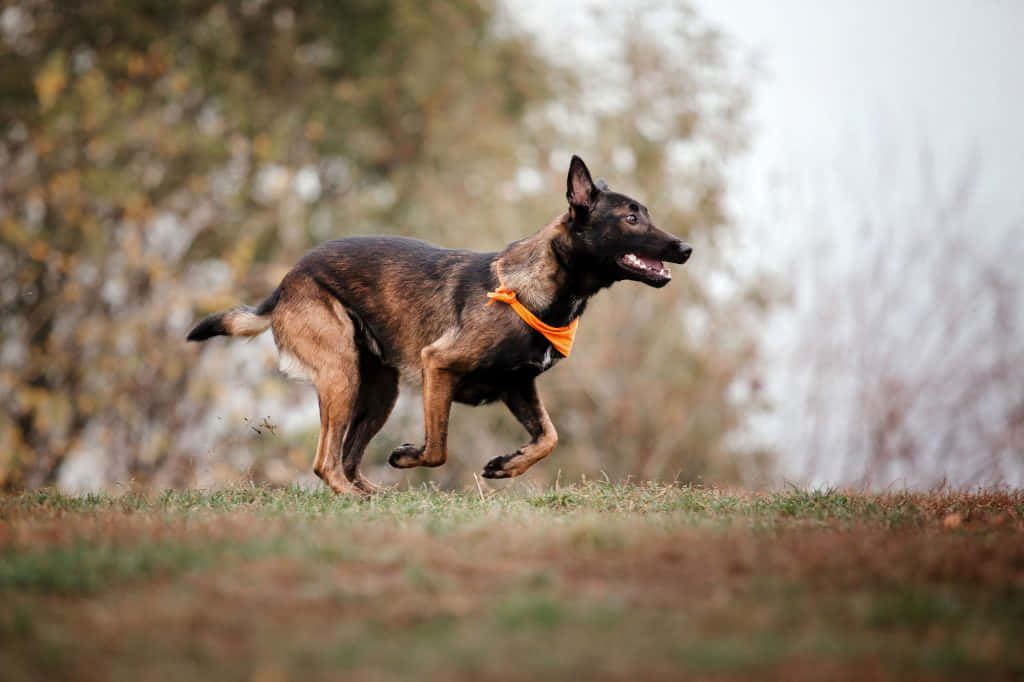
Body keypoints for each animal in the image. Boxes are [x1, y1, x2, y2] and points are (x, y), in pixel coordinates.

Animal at [188, 156, 692, 491]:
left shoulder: (518, 386)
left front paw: (509, 464)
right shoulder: (438, 366)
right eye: (631, 217)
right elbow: (437, 449)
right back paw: (355, 499)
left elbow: (549, 435)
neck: (540, 289)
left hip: (379, 391)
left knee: (347, 460)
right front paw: (409, 455)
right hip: (341, 375)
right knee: (326, 463)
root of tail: (287, 280)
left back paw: (372, 498)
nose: (686, 248)